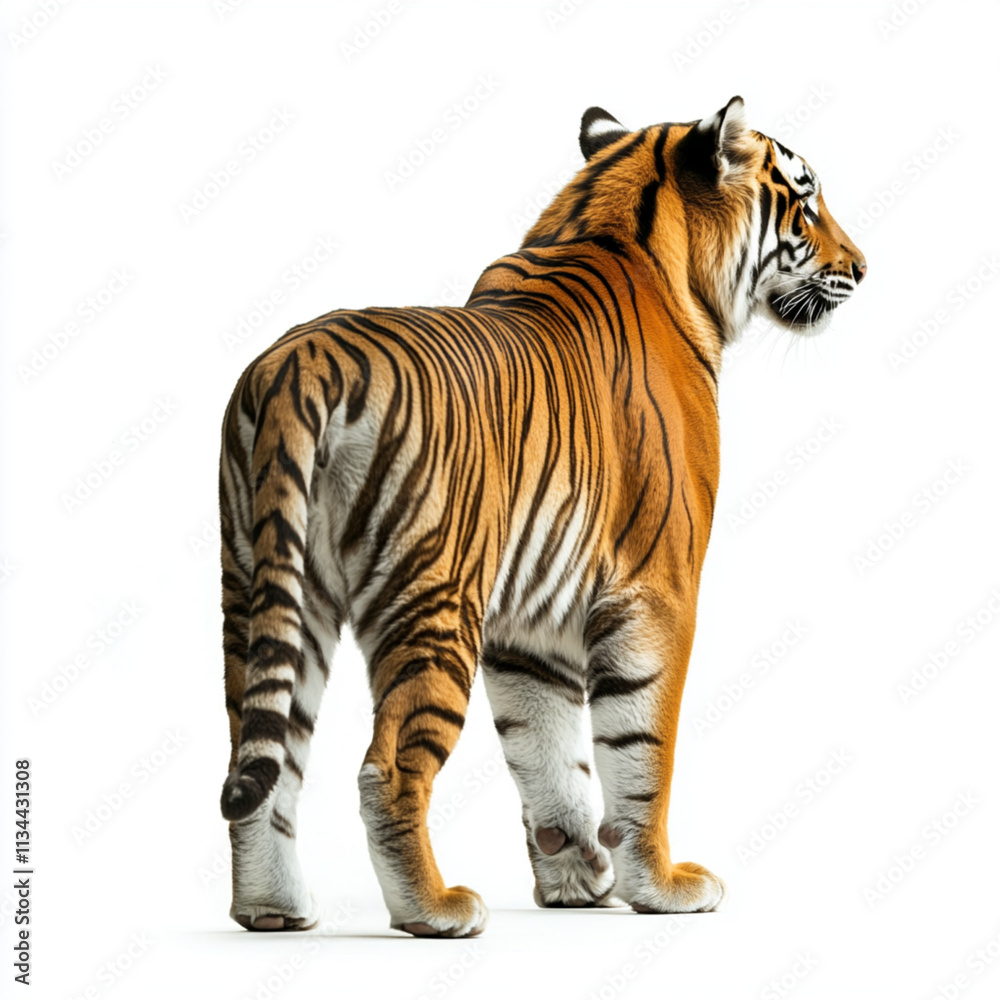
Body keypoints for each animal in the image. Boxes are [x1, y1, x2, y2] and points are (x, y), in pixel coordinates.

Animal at [218, 95, 866, 937]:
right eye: (807, 200)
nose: (862, 266)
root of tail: (304, 362)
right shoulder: (658, 593)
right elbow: (641, 750)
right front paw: (661, 886)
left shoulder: (530, 623)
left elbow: (545, 748)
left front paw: (576, 877)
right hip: (433, 599)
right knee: (386, 769)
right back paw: (434, 910)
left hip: (269, 589)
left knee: (261, 759)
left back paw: (275, 909)